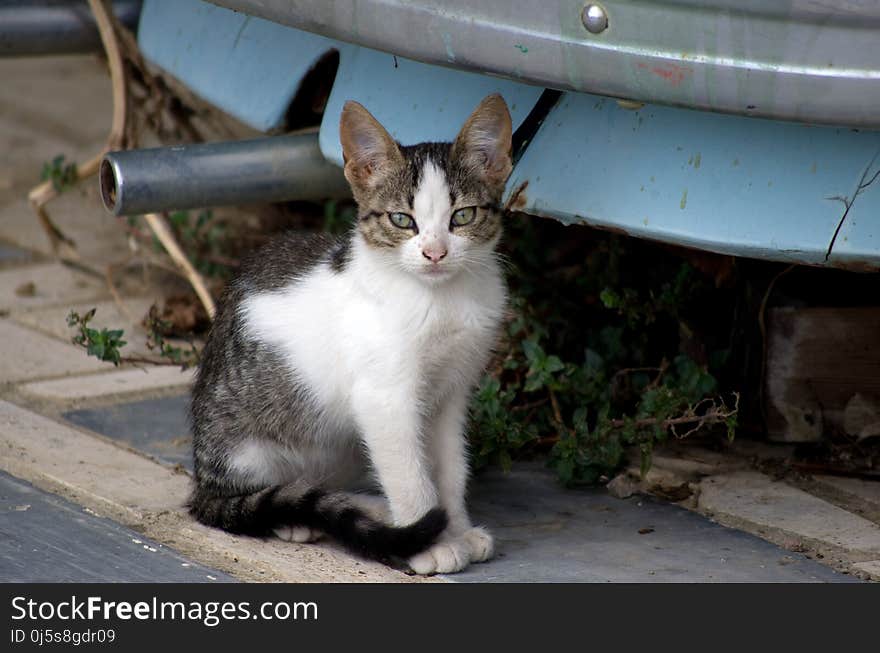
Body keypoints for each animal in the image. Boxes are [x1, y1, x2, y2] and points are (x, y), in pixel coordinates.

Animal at [189, 94, 512, 572]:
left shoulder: (451, 394)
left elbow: (450, 468)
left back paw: (370, 509)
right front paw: (427, 542)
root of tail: (202, 481)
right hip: (250, 451)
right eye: (402, 219)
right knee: (265, 495)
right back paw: (299, 519)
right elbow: (409, 474)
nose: (435, 253)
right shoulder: (384, 397)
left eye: (463, 216)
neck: (440, 299)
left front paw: (456, 528)